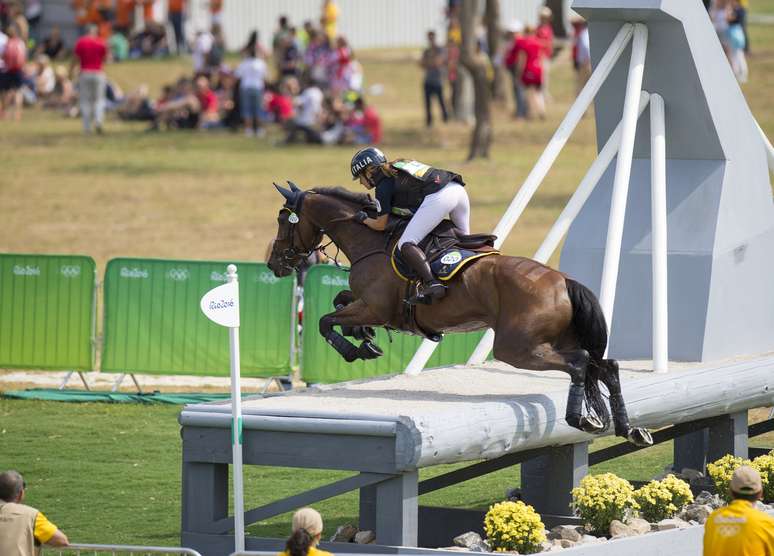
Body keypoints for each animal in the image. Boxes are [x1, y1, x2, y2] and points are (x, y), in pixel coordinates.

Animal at [266, 184, 656, 448]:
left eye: (284, 220)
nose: (274, 265)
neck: (371, 241)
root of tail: (563, 280)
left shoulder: (376, 306)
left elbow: (325, 321)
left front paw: (353, 349)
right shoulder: (369, 305)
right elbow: (338, 303)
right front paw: (365, 338)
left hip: (516, 348)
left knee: (579, 364)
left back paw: (581, 419)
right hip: (555, 339)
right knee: (605, 366)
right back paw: (629, 429)